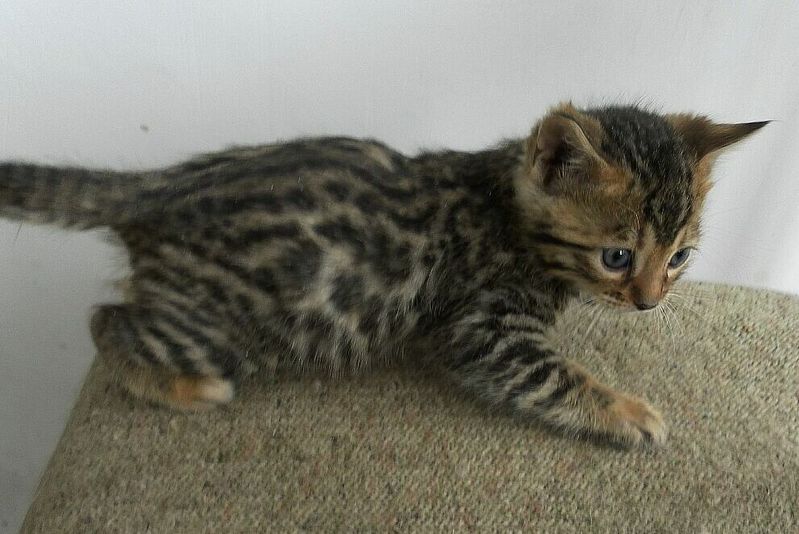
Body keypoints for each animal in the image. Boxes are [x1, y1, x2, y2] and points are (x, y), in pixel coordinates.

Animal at [0, 103, 766, 447]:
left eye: (678, 258)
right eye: (616, 257)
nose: (648, 302)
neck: (504, 204)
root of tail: (156, 188)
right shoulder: (485, 326)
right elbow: (551, 375)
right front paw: (628, 412)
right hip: (223, 325)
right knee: (106, 320)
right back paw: (185, 386)